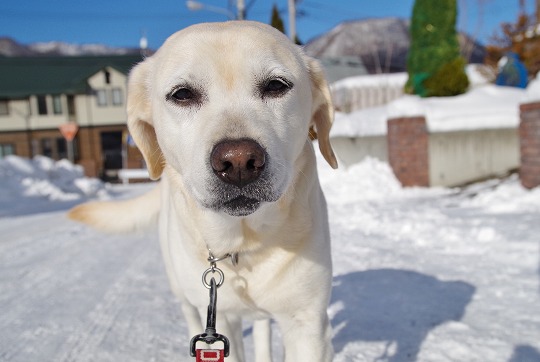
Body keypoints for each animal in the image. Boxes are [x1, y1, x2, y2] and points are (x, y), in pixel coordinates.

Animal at [68, 21, 338, 360]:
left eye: (276, 86)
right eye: (182, 94)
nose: (238, 161)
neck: (244, 246)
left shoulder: (307, 322)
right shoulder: (221, 319)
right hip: (181, 287)